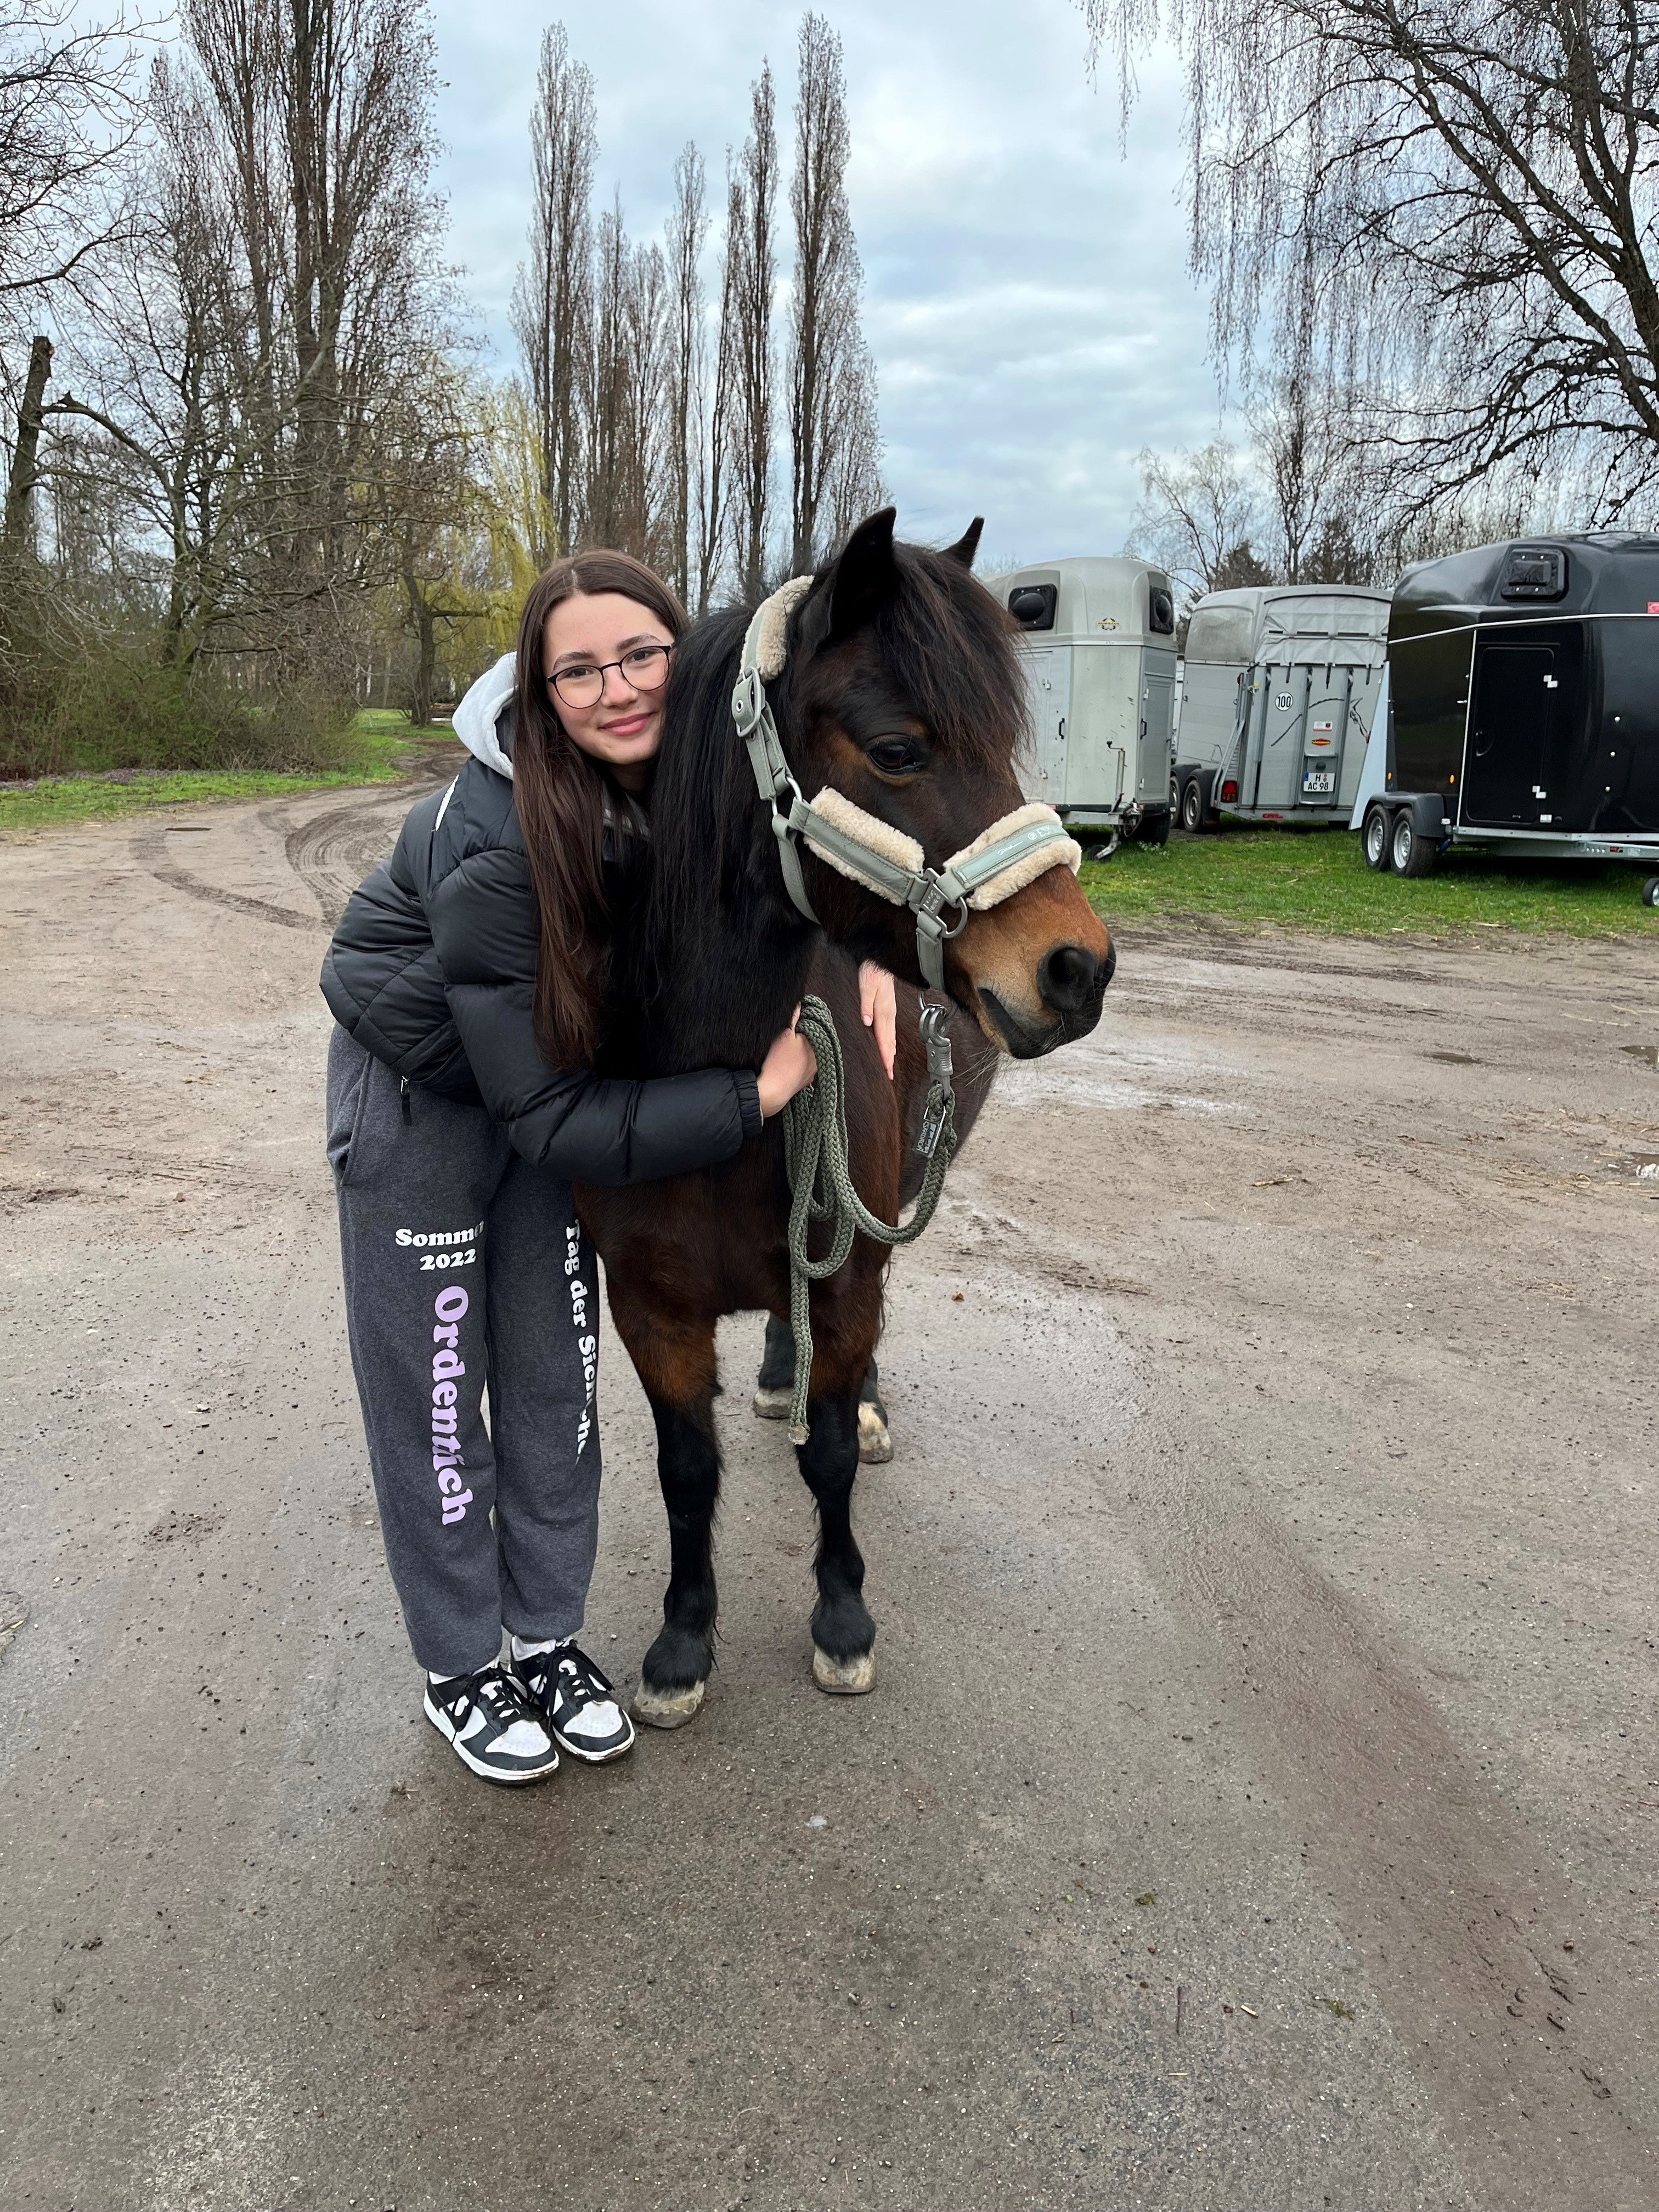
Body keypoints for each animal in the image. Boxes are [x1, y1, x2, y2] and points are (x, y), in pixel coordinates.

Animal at [575, 508, 1114, 1726]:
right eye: (899, 749)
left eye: (1005, 744)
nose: (1079, 968)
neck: (717, 1085)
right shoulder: (650, 1310)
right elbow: (687, 1473)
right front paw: (683, 1640)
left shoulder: (847, 1270)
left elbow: (822, 1460)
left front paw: (841, 1618)